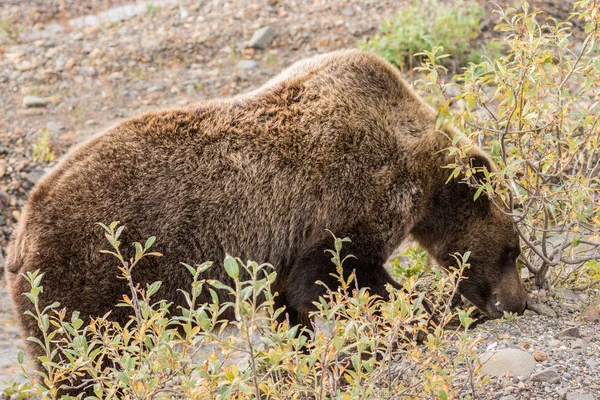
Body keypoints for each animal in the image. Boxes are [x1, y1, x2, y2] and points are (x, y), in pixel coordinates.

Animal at [7, 49, 528, 362]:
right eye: (513, 252)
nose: (517, 303)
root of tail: (22, 230)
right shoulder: (348, 195)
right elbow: (338, 276)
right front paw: (430, 312)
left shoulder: (287, 245)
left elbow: (291, 299)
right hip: (87, 278)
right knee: (84, 357)